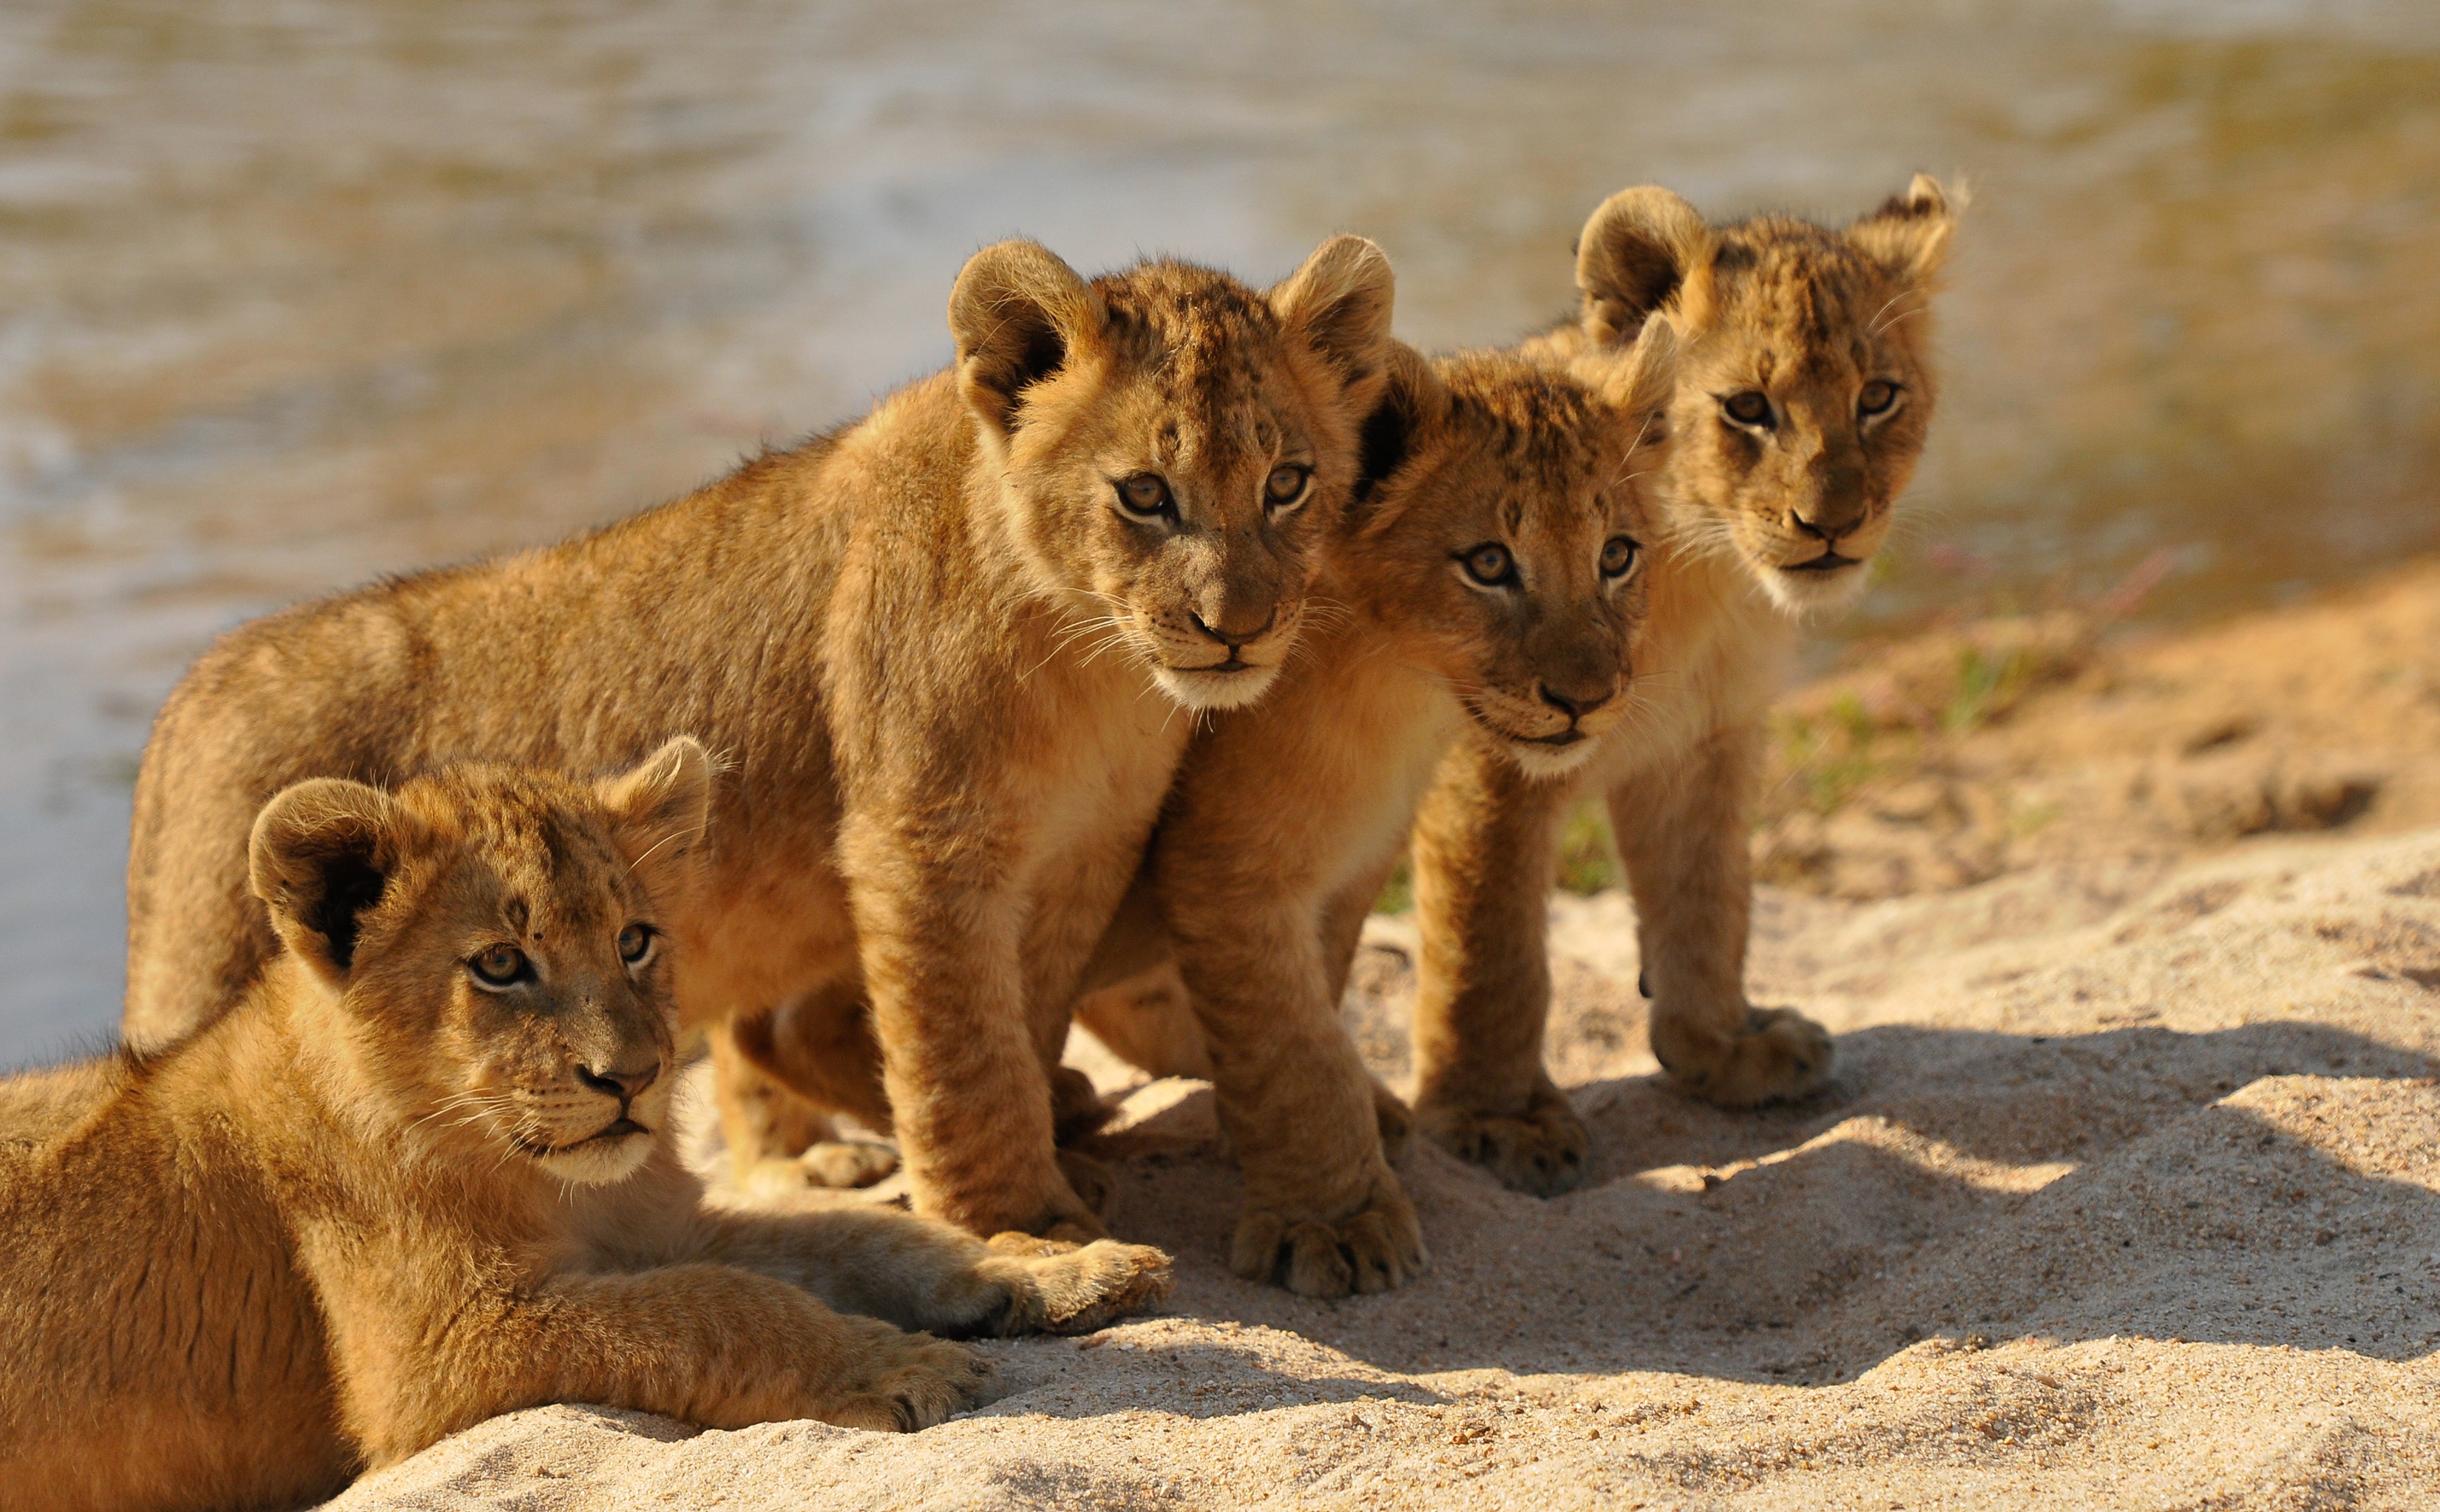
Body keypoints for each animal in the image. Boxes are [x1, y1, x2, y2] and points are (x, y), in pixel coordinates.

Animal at [0, 741, 1171, 1512]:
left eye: (635, 940)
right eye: (501, 964)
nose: (637, 1079)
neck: (545, 1178)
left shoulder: (669, 1225)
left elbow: (862, 1235)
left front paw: (1053, 1270)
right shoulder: (433, 1358)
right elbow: (723, 1307)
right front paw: (899, 1364)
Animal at [119, 235, 1397, 1243]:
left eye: (1288, 483)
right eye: (1143, 495)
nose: (1239, 628)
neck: (1092, 663)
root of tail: (190, 696)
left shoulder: (1082, 853)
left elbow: (1018, 1026)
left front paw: (1049, 1152)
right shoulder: (919, 845)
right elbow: (962, 1053)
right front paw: (1020, 1225)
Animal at [1397, 177, 1961, 1193]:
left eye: (1878, 398)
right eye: (1747, 407)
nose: (1833, 524)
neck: (1701, 581)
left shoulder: (1700, 745)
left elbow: (1706, 899)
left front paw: (1724, 1048)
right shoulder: (1484, 765)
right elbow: (1489, 947)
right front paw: (1496, 1118)